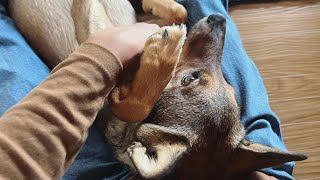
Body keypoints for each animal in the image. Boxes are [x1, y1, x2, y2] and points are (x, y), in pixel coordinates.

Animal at [8, 0, 308, 179]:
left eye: (189, 79)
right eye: (232, 88)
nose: (219, 19)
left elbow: (131, 106)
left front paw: (163, 49)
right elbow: (180, 13)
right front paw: (164, 13)